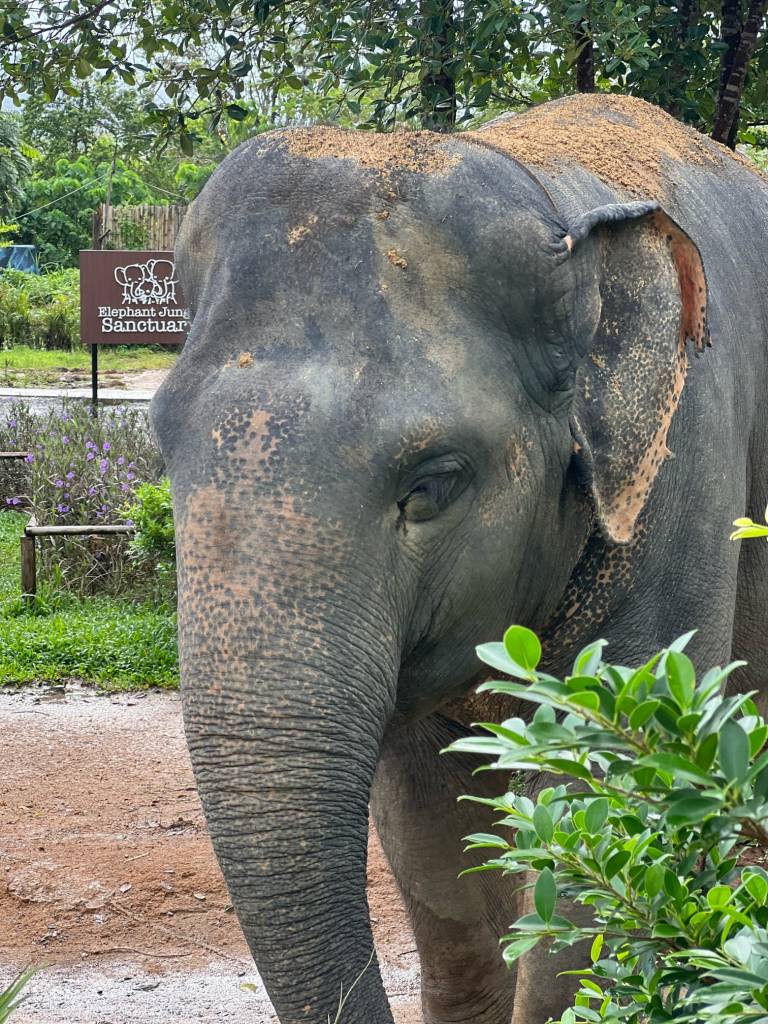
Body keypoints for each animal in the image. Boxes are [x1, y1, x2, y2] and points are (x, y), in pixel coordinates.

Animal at [151, 92, 768, 1024]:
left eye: (432, 482)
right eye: (158, 440)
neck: (544, 193)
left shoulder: (687, 472)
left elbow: (611, 806)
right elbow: (433, 840)